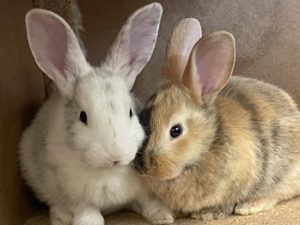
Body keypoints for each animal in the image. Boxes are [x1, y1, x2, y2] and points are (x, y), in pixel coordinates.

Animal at [19, 3, 173, 225]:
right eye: (83, 116)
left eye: (130, 112)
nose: (115, 156)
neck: (109, 171)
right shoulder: (73, 192)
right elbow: (85, 209)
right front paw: (88, 222)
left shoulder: (143, 188)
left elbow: (148, 201)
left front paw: (163, 216)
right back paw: (59, 217)